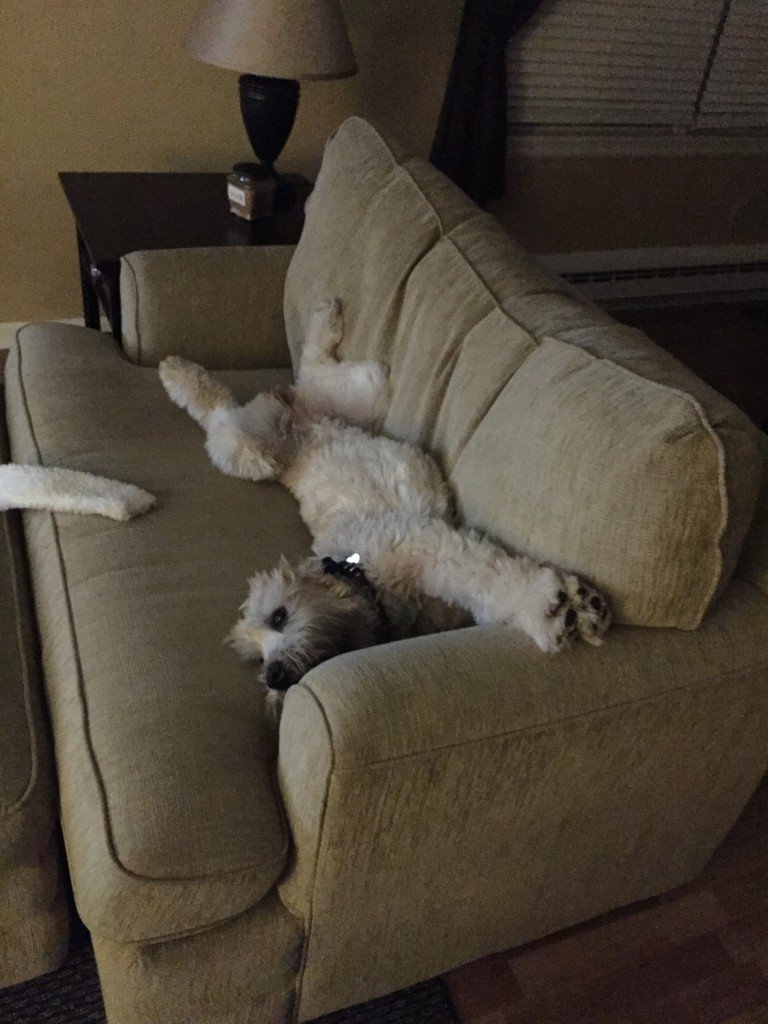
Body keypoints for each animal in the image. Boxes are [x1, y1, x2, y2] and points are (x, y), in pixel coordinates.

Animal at [162, 292, 614, 700]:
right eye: (257, 657)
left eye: (278, 616)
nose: (274, 676)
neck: (360, 575)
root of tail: (296, 417)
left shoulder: (427, 545)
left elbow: (489, 576)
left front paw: (547, 608)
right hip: (354, 393)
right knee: (303, 370)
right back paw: (316, 321)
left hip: (287, 429)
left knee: (227, 410)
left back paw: (181, 370)